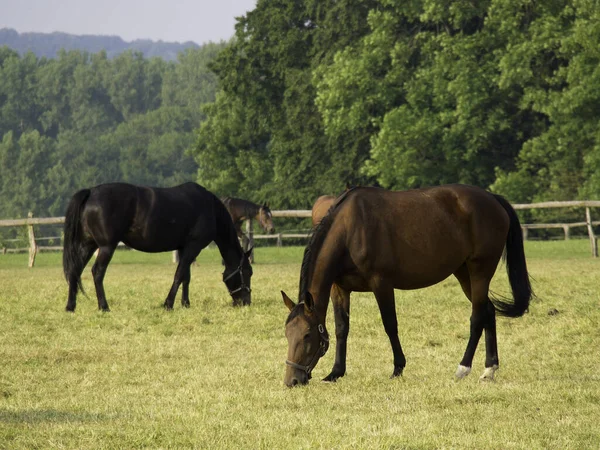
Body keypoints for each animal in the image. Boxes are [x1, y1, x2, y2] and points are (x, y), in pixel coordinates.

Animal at [63, 181, 253, 312]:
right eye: (248, 272)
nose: (246, 302)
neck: (210, 209)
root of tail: (91, 192)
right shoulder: (193, 246)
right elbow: (179, 275)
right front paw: (168, 304)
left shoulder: (184, 247)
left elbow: (186, 277)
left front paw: (185, 304)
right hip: (106, 247)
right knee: (97, 272)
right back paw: (104, 306)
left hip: (88, 245)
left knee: (75, 270)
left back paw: (71, 306)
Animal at [284, 184, 532, 386]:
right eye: (287, 334)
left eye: (307, 335)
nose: (292, 380)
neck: (350, 229)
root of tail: (492, 198)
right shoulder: (340, 288)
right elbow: (341, 328)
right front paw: (336, 372)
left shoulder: (381, 283)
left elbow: (390, 324)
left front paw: (398, 368)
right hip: (463, 273)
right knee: (488, 311)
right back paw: (489, 369)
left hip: (480, 270)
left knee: (478, 316)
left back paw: (463, 368)